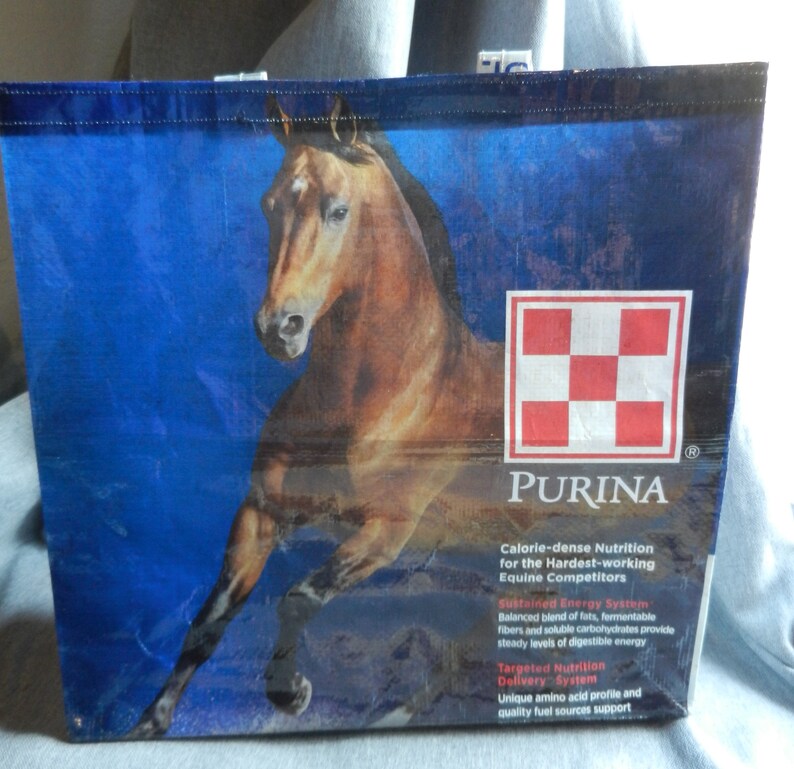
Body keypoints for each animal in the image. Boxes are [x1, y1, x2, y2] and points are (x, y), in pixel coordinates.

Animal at [130, 95, 505, 737]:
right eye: (269, 204)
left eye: (338, 210)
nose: (278, 328)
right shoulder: (262, 512)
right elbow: (207, 623)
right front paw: (147, 726)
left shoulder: (387, 530)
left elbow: (298, 597)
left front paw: (289, 692)